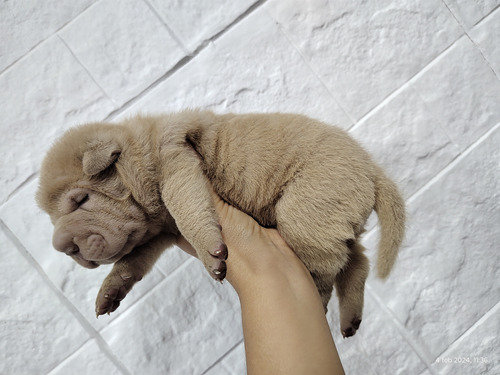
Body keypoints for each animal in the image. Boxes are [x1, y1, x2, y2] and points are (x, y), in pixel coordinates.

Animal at [38, 109, 406, 338]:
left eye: (80, 200)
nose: (62, 246)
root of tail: (374, 172)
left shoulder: (176, 163)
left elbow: (187, 208)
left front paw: (210, 253)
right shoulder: (158, 233)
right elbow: (132, 262)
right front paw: (109, 291)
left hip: (308, 208)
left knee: (329, 269)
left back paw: (319, 299)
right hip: (334, 217)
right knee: (356, 260)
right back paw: (350, 318)